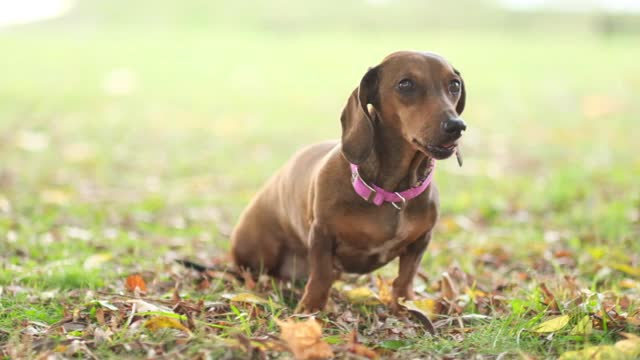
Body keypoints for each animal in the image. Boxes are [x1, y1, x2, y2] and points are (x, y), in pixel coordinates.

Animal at [230, 50, 464, 312]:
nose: (456, 126)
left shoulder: (421, 240)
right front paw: (310, 308)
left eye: (454, 85)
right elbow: (320, 275)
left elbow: (406, 276)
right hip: (258, 252)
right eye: (405, 84)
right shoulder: (321, 234)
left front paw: (404, 305)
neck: (391, 192)